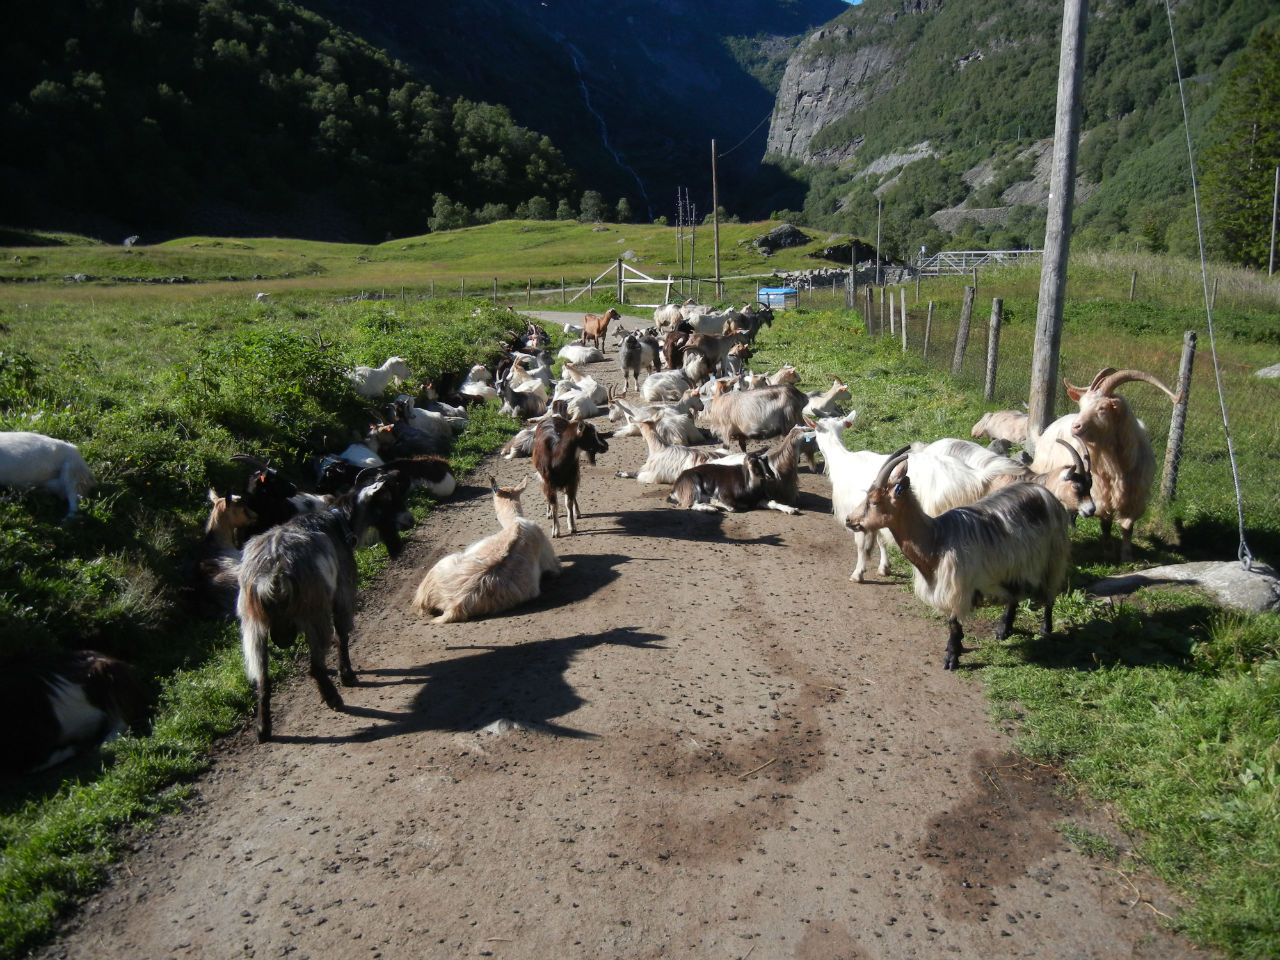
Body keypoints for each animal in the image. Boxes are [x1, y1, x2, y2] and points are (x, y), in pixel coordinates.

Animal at [240, 471, 414, 742]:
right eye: (390, 500)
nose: (411, 520)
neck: (340, 523)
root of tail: (273, 571)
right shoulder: (342, 591)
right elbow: (342, 634)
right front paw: (348, 675)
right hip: (314, 613)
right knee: (315, 665)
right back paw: (334, 698)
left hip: (252, 624)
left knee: (262, 677)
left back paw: (263, 728)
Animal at [844, 448, 1075, 670]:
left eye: (874, 502)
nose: (849, 520)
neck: (935, 539)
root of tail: (1045, 493)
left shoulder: (957, 586)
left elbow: (954, 624)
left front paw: (952, 658)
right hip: (1016, 563)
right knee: (1015, 594)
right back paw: (1003, 630)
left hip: (1054, 554)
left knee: (1050, 592)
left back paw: (1045, 629)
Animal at [1029, 368, 1177, 563]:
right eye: (1081, 406)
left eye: (1102, 408)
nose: (1075, 427)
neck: (1117, 464)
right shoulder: (1101, 493)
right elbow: (1105, 524)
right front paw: (1108, 553)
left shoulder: (1134, 495)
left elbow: (1127, 526)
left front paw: (1127, 556)